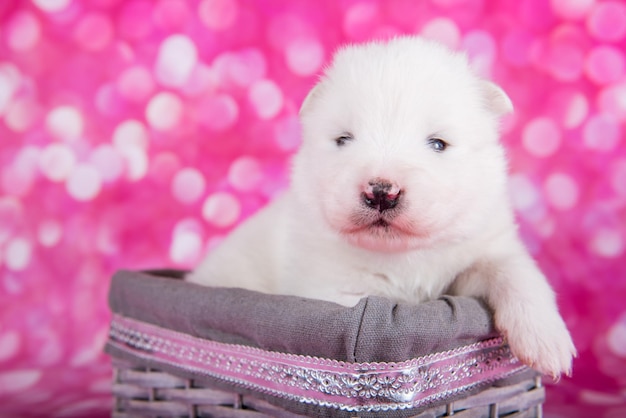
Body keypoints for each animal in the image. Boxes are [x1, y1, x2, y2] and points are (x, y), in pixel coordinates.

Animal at [188, 36, 572, 378]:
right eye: (343, 139)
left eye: (438, 144)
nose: (381, 193)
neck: (402, 254)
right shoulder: (335, 289)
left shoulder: (482, 245)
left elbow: (515, 271)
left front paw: (546, 342)